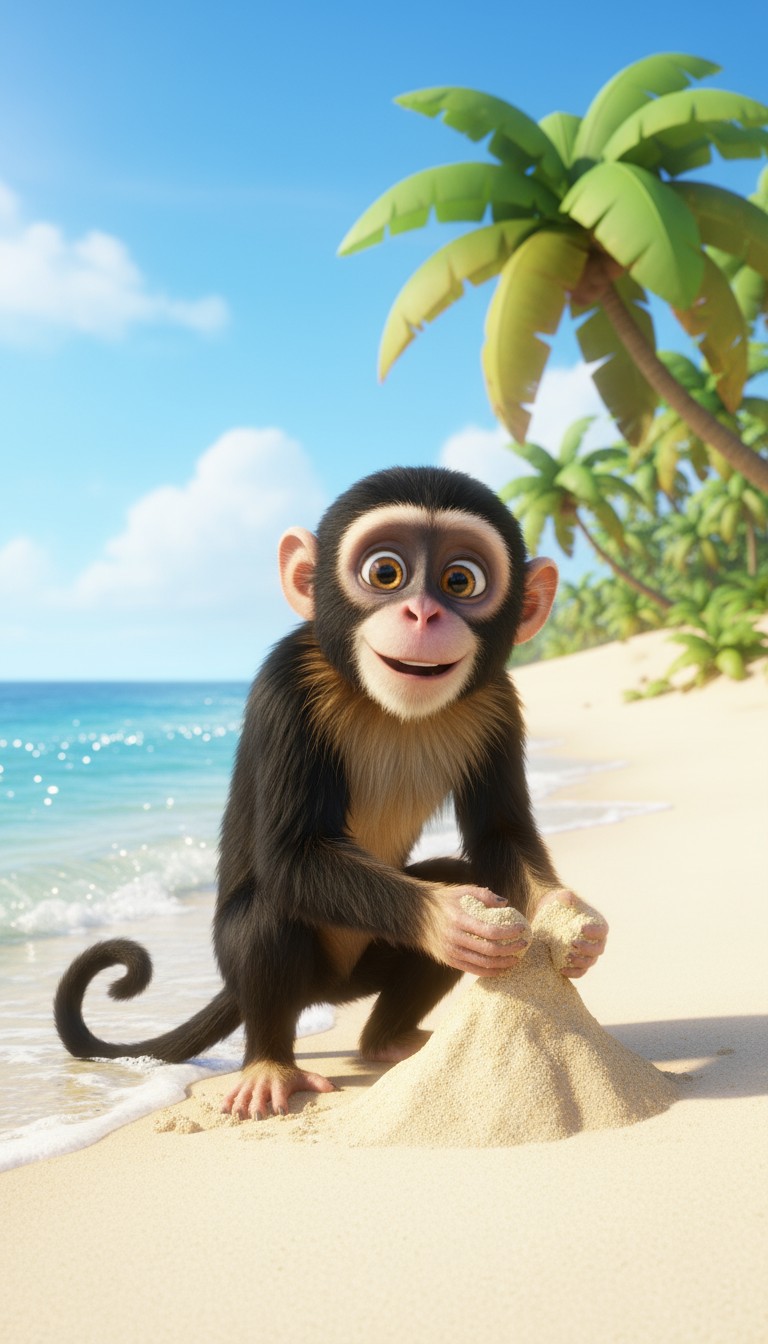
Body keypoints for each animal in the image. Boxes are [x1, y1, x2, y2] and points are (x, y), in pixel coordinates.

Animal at [54, 466, 607, 1120]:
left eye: (460, 580)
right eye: (385, 572)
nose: (422, 614)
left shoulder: (497, 700)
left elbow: (499, 834)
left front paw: (569, 918)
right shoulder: (287, 684)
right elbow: (291, 854)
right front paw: (447, 918)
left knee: (453, 872)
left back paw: (388, 1040)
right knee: (267, 912)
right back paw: (269, 1063)